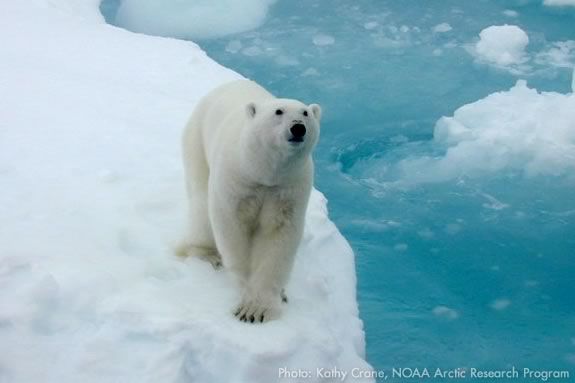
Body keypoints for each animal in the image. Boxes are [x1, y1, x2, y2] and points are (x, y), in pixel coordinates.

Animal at [180, 80, 322, 324]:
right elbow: (232, 229)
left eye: (305, 113)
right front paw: (248, 303)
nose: (298, 128)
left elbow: (278, 237)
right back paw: (207, 254)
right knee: (201, 205)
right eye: (278, 111)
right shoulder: (238, 179)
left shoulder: (287, 188)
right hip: (195, 142)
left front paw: (262, 306)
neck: (262, 172)